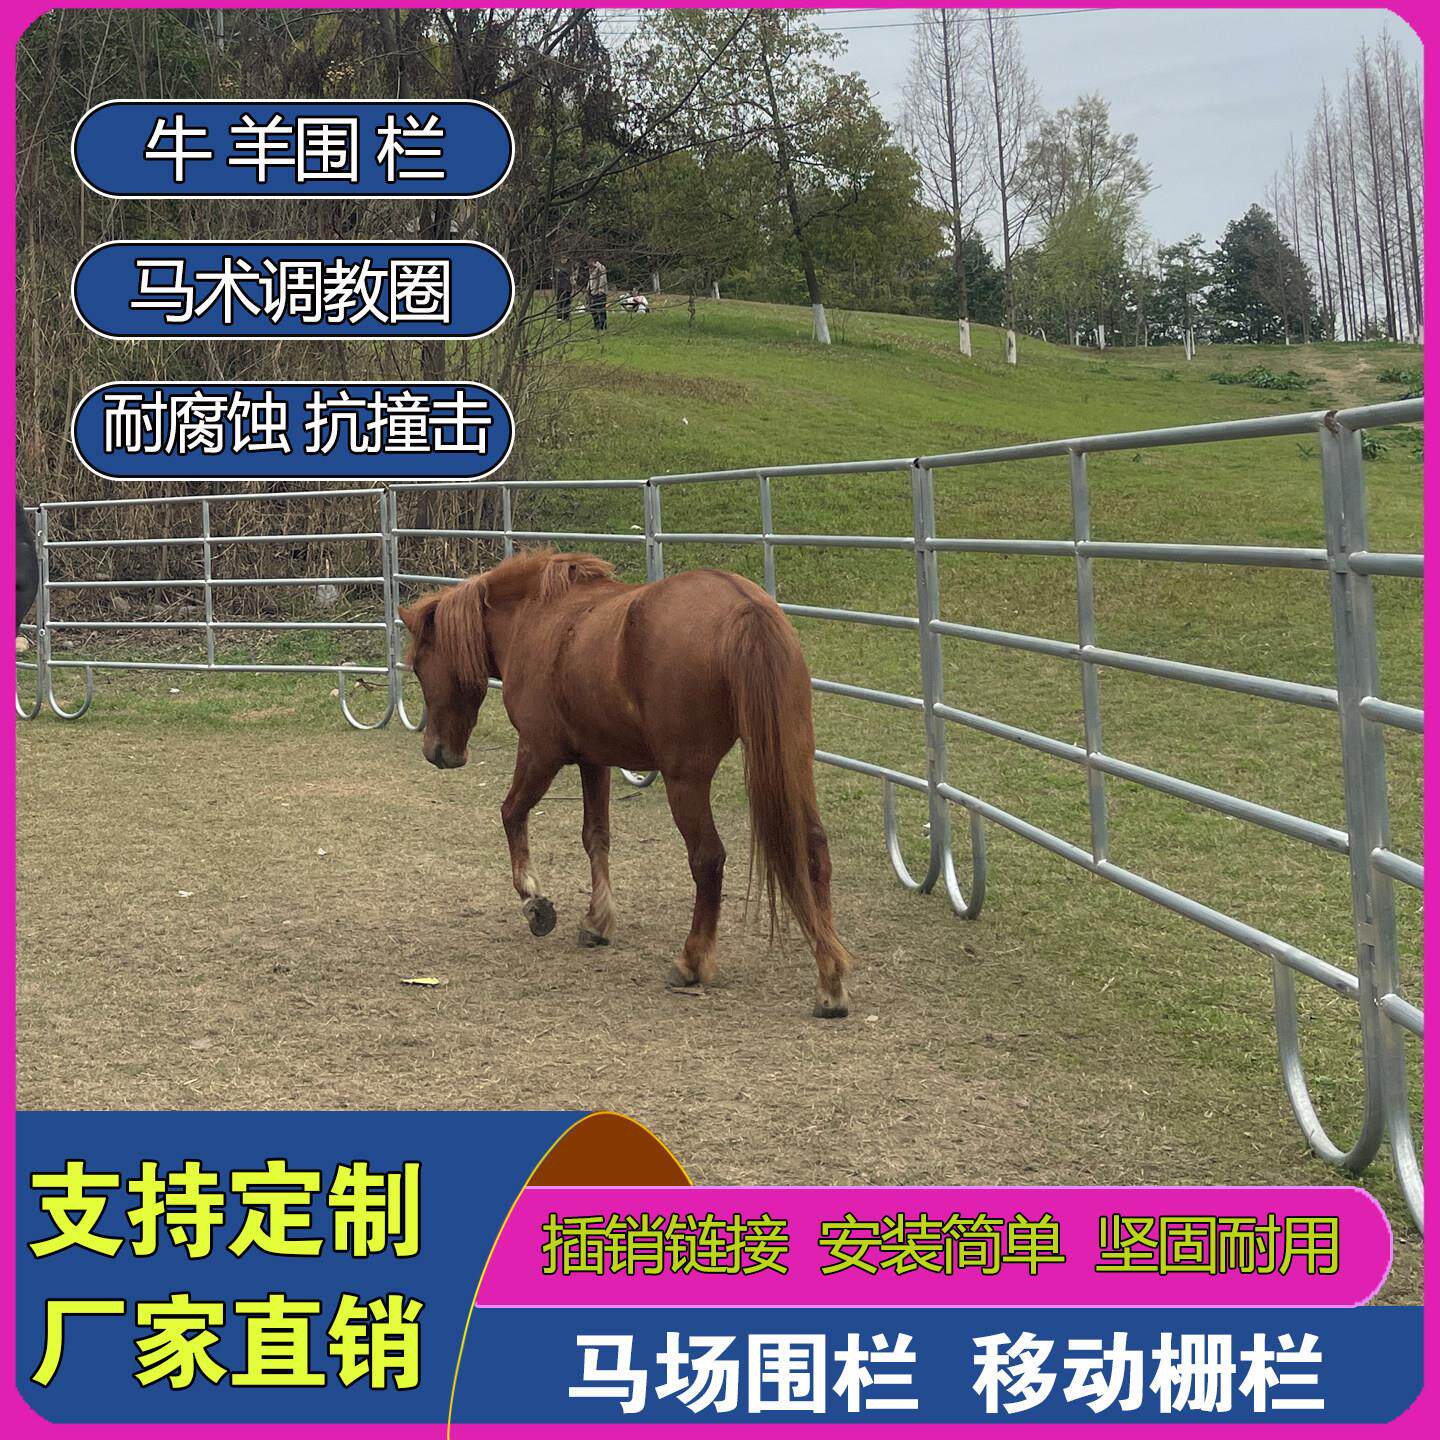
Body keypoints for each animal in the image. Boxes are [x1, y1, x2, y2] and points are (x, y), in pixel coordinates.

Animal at [398, 548, 854, 1018]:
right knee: (813, 849)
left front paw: (535, 903)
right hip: (791, 760)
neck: (537, 617)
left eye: (419, 667)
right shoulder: (594, 760)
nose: (437, 752)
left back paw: (692, 961)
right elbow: (595, 837)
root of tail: (746, 608)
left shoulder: (540, 751)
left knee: (708, 858)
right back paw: (830, 979)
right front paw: (596, 921)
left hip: (685, 779)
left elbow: (512, 813)